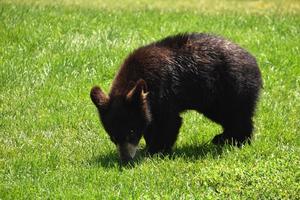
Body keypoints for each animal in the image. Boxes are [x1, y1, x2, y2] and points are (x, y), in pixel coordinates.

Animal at [90, 33, 262, 164]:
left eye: (131, 131)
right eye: (113, 137)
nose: (126, 159)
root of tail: (253, 60)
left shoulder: (163, 91)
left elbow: (169, 122)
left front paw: (155, 151)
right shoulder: (150, 105)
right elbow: (151, 123)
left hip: (231, 88)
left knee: (236, 115)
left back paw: (237, 140)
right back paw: (223, 138)